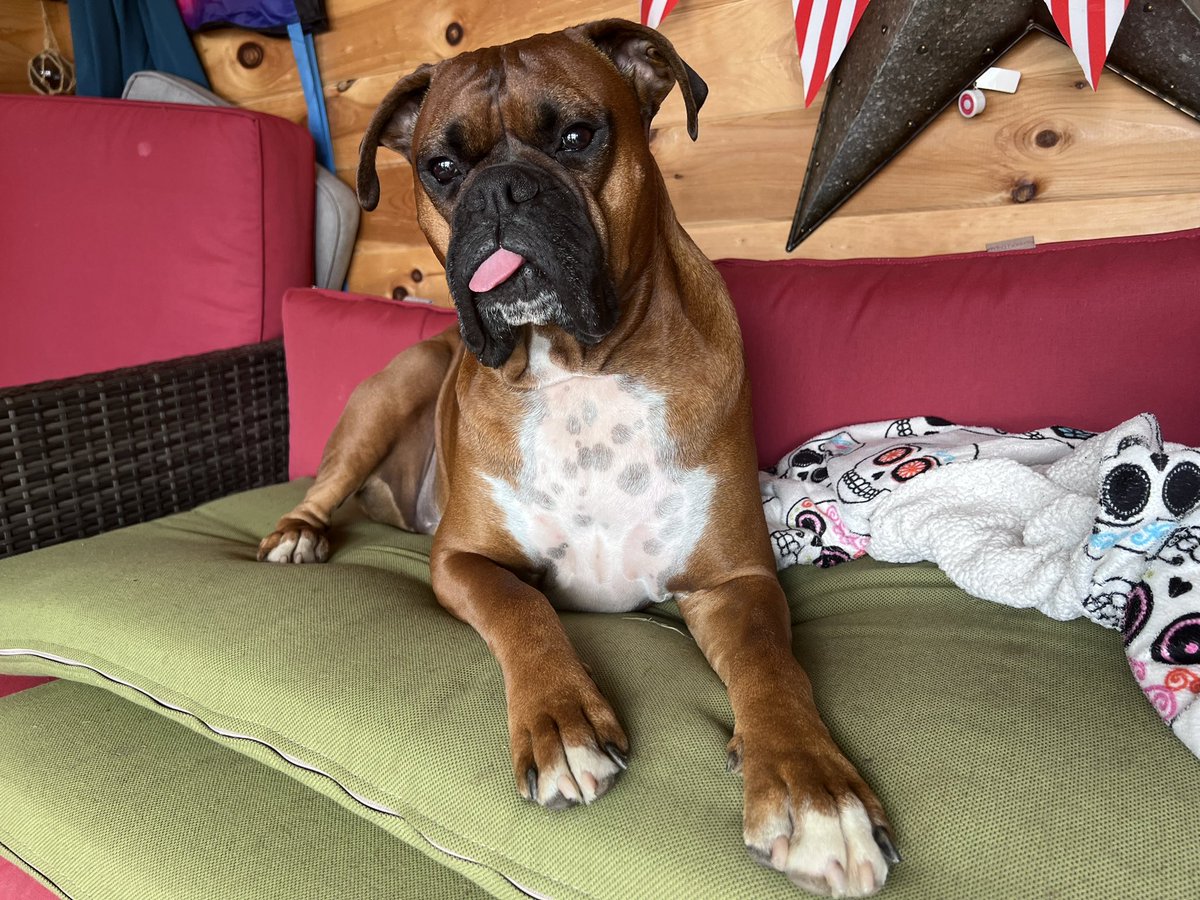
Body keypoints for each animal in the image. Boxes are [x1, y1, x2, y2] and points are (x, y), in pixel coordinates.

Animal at [262, 17, 902, 897]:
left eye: (575, 136)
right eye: (442, 168)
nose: (502, 192)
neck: (578, 371)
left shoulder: (734, 582)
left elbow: (774, 669)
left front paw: (814, 794)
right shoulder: (462, 561)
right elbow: (523, 610)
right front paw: (562, 724)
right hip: (397, 386)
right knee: (325, 488)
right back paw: (298, 534)